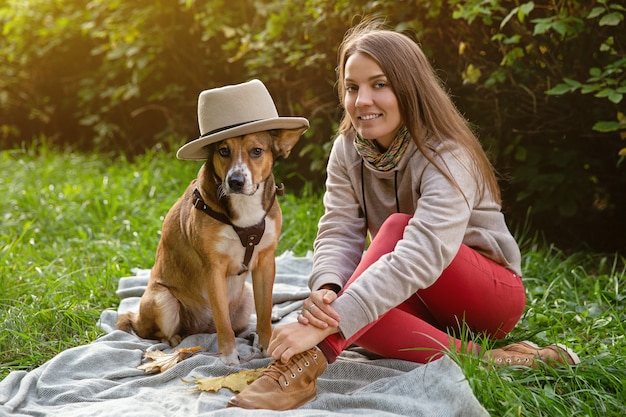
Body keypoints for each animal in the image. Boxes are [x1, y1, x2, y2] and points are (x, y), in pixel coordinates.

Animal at [116, 127, 304, 364]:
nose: (235, 181)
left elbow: (264, 312)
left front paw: (267, 346)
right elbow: (223, 322)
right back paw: (174, 342)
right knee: (156, 333)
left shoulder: (265, 263)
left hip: (246, 296)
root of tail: (203, 329)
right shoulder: (213, 269)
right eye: (223, 150)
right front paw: (230, 358)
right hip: (162, 300)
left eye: (256, 151)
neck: (244, 209)